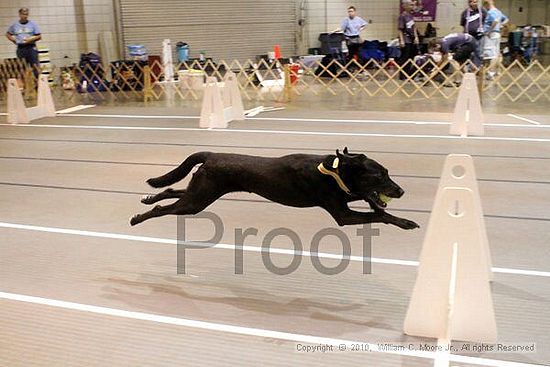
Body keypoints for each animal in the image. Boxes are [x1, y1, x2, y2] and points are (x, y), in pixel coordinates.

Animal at [129, 149, 420, 230]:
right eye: (379, 175)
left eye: (388, 173)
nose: (401, 191)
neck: (335, 172)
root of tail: (211, 155)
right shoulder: (343, 215)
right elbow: (378, 214)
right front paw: (404, 222)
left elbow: (377, 209)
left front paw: (400, 217)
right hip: (197, 201)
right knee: (163, 209)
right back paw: (138, 217)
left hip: (202, 192)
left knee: (171, 191)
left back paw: (148, 197)